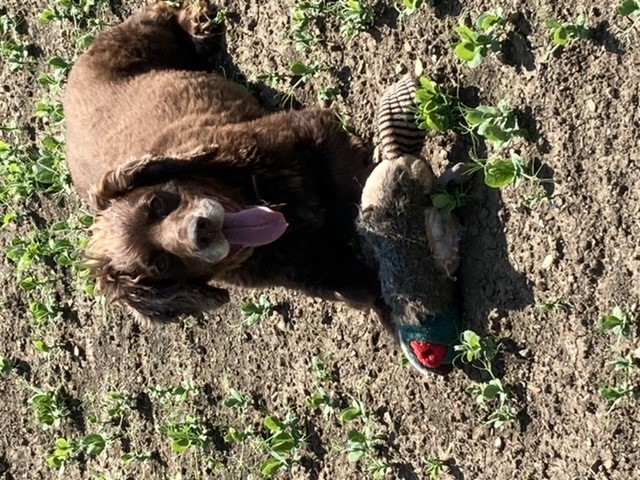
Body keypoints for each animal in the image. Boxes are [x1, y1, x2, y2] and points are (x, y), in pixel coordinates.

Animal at [66, 2, 380, 322]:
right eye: (160, 264)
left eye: (157, 203)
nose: (200, 231)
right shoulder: (315, 271)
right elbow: (370, 290)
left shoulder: (308, 129)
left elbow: (353, 181)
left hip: (143, 37)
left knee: (160, 13)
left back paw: (198, 25)